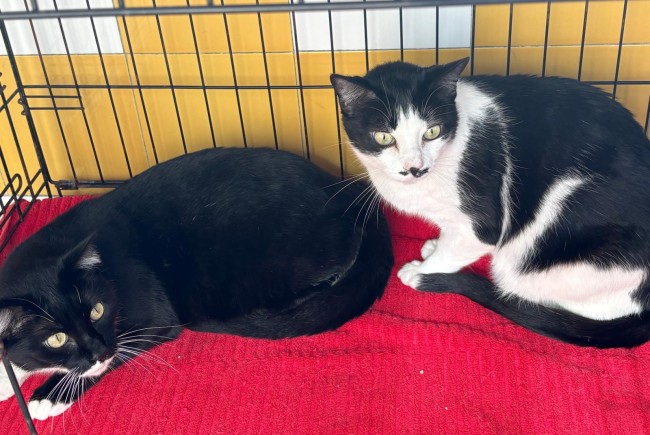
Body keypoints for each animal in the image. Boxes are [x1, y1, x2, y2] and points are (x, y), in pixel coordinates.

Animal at [0, 147, 393, 420]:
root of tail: (350, 193)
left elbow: (115, 353)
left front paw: (49, 396)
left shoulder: (155, 317)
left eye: (97, 310)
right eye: (56, 338)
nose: (98, 351)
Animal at [331, 57, 650, 348]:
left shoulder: (481, 225)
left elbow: (460, 248)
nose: (415, 168)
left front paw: (423, 270)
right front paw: (435, 245)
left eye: (432, 132)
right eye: (384, 137)